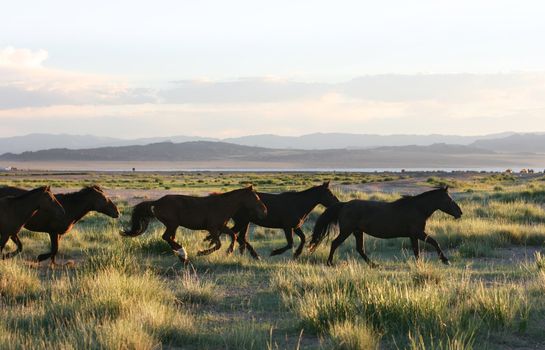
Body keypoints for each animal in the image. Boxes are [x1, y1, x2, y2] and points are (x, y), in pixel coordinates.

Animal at [122, 186, 268, 262]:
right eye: (256, 198)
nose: (265, 211)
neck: (222, 206)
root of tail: (157, 202)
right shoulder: (212, 228)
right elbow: (218, 244)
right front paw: (201, 252)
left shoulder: (221, 227)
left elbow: (234, 235)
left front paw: (229, 251)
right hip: (172, 224)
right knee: (166, 237)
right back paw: (183, 253)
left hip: (173, 226)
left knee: (170, 238)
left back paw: (181, 256)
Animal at [207, 182, 338, 258]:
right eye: (330, 193)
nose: (337, 203)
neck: (298, 204)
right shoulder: (287, 227)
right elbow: (290, 243)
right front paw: (275, 252)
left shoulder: (295, 227)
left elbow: (303, 238)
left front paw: (297, 254)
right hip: (242, 222)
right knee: (235, 235)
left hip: (245, 223)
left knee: (240, 237)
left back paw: (252, 255)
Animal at [308, 187, 462, 266]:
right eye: (449, 199)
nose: (460, 212)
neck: (418, 208)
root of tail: (344, 205)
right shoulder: (418, 232)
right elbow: (434, 242)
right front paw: (445, 260)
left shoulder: (413, 235)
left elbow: (416, 251)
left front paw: (419, 264)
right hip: (347, 231)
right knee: (335, 243)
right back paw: (329, 263)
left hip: (358, 232)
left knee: (360, 249)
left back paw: (373, 264)